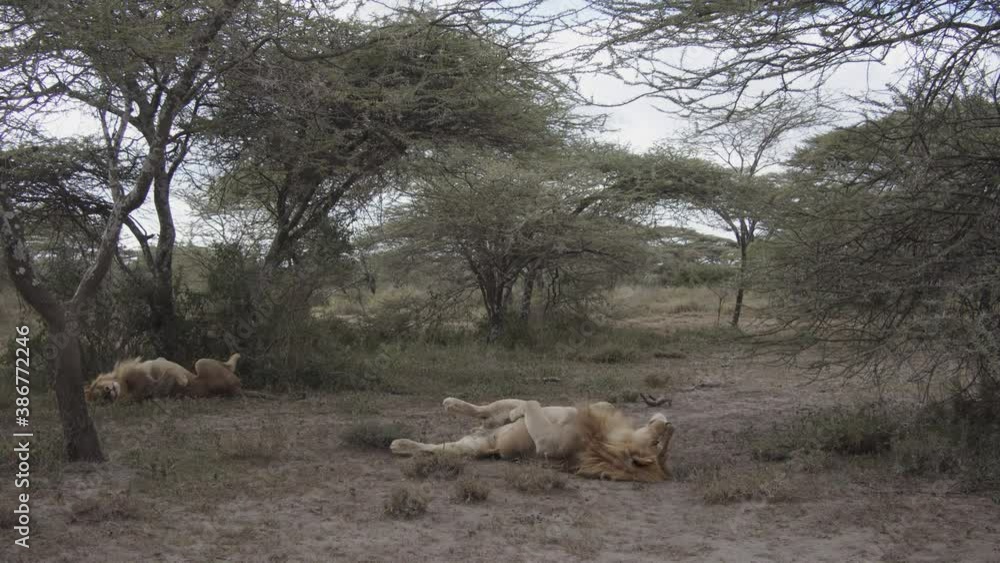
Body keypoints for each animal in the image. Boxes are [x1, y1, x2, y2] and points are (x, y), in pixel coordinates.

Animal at [390, 397, 675, 482]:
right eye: (659, 443)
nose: (670, 426)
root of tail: (488, 439)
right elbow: (602, 405)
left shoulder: (547, 443)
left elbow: (530, 403)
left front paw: (518, 413)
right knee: (486, 409)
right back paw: (452, 404)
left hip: (467, 447)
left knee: (433, 448)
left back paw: (400, 445)